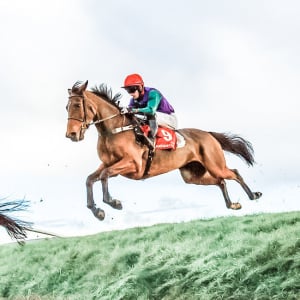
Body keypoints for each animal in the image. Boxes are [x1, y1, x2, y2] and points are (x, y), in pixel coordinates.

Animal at [65, 81, 262, 221]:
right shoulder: (108, 163)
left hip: (215, 164)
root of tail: (208, 134)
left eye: (77, 106)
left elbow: (104, 175)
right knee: (221, 181)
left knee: (234, 173)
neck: (114, 130)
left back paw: (253, 195)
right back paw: (233, 204)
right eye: (67, 107)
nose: (71, 134)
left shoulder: (133, 165)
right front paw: (96, 210)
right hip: (192, 175)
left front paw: (113, 202)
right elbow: (91, 179)